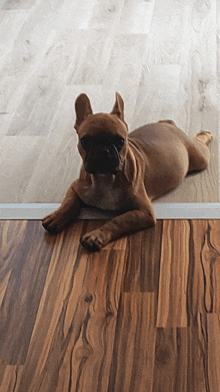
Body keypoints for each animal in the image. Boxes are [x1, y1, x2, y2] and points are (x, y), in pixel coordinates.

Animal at [41, 93, 213, 250]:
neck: (105, 178)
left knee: (199, 142)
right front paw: (56, 217)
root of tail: (171, 127)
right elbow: (69, 202)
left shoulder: (144, 212)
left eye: (120, 141)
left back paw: (205, 134)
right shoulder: (76, 186)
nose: (102, 151)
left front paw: (96, 236)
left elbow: (118, 221)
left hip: (200, 157)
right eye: (85, 141)